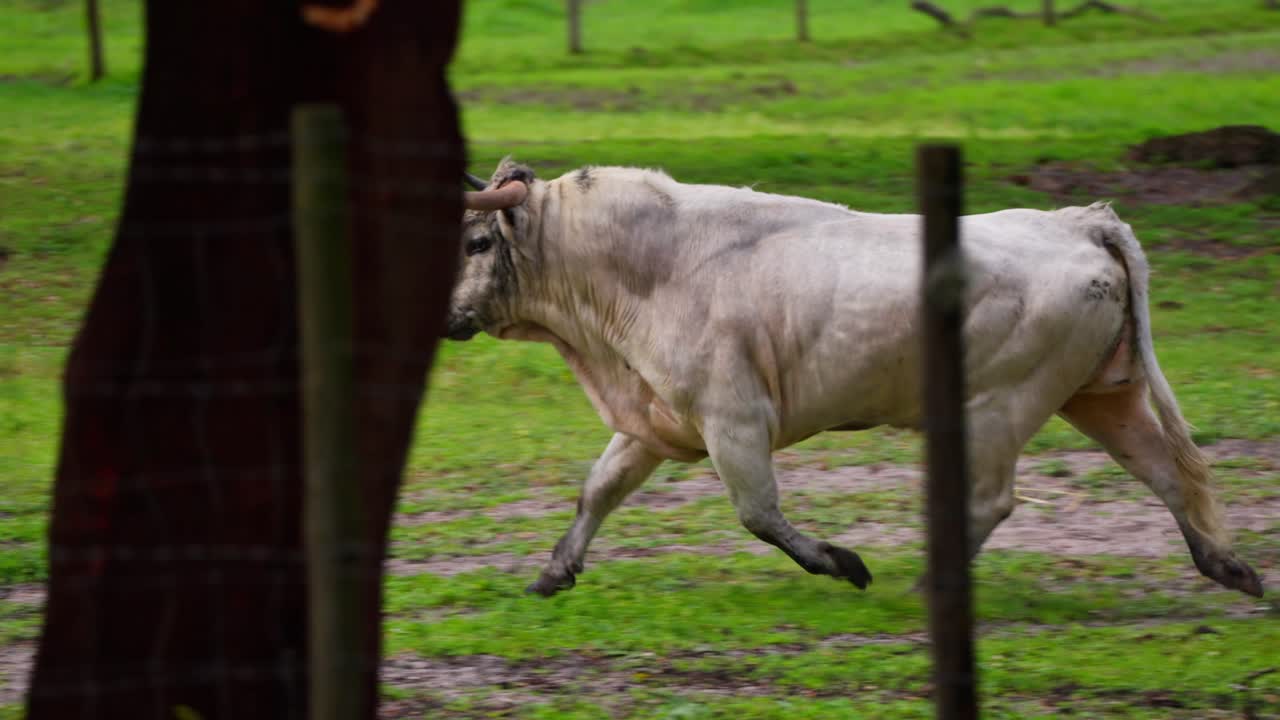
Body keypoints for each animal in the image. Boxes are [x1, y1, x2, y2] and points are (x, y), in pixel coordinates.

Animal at [443, 157, 1265, 600]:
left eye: (477, 241)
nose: (442, 314)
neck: (654, 267)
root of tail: (1077, 221)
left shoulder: (734, 420)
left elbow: (759, 513)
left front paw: (842, 563)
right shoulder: (654, 421)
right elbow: (598, 489)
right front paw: (555, 571)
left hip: (1000, 408)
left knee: (992, 500)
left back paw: (930, 584)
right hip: (1100, 398)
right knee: (1168, 471)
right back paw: (1228, 566)